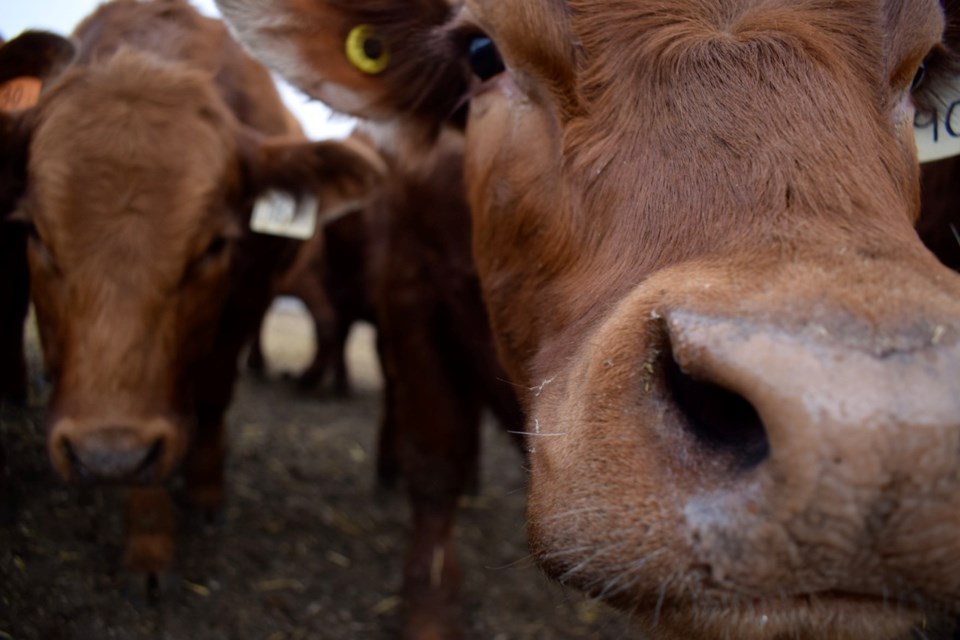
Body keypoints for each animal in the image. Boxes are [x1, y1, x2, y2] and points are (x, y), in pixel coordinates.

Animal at [0, 0, 382, 584]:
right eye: (35, 233)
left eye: (213, 245)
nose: (104, 457)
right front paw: (150, 540)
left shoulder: (250, 295)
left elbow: (213, 396)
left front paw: (204, 492)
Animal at [218, 0, 960, 636]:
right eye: (483, 54)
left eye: (923, 68)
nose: (877, 440)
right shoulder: (411, 292)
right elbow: (436, 468)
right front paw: (429, 614)